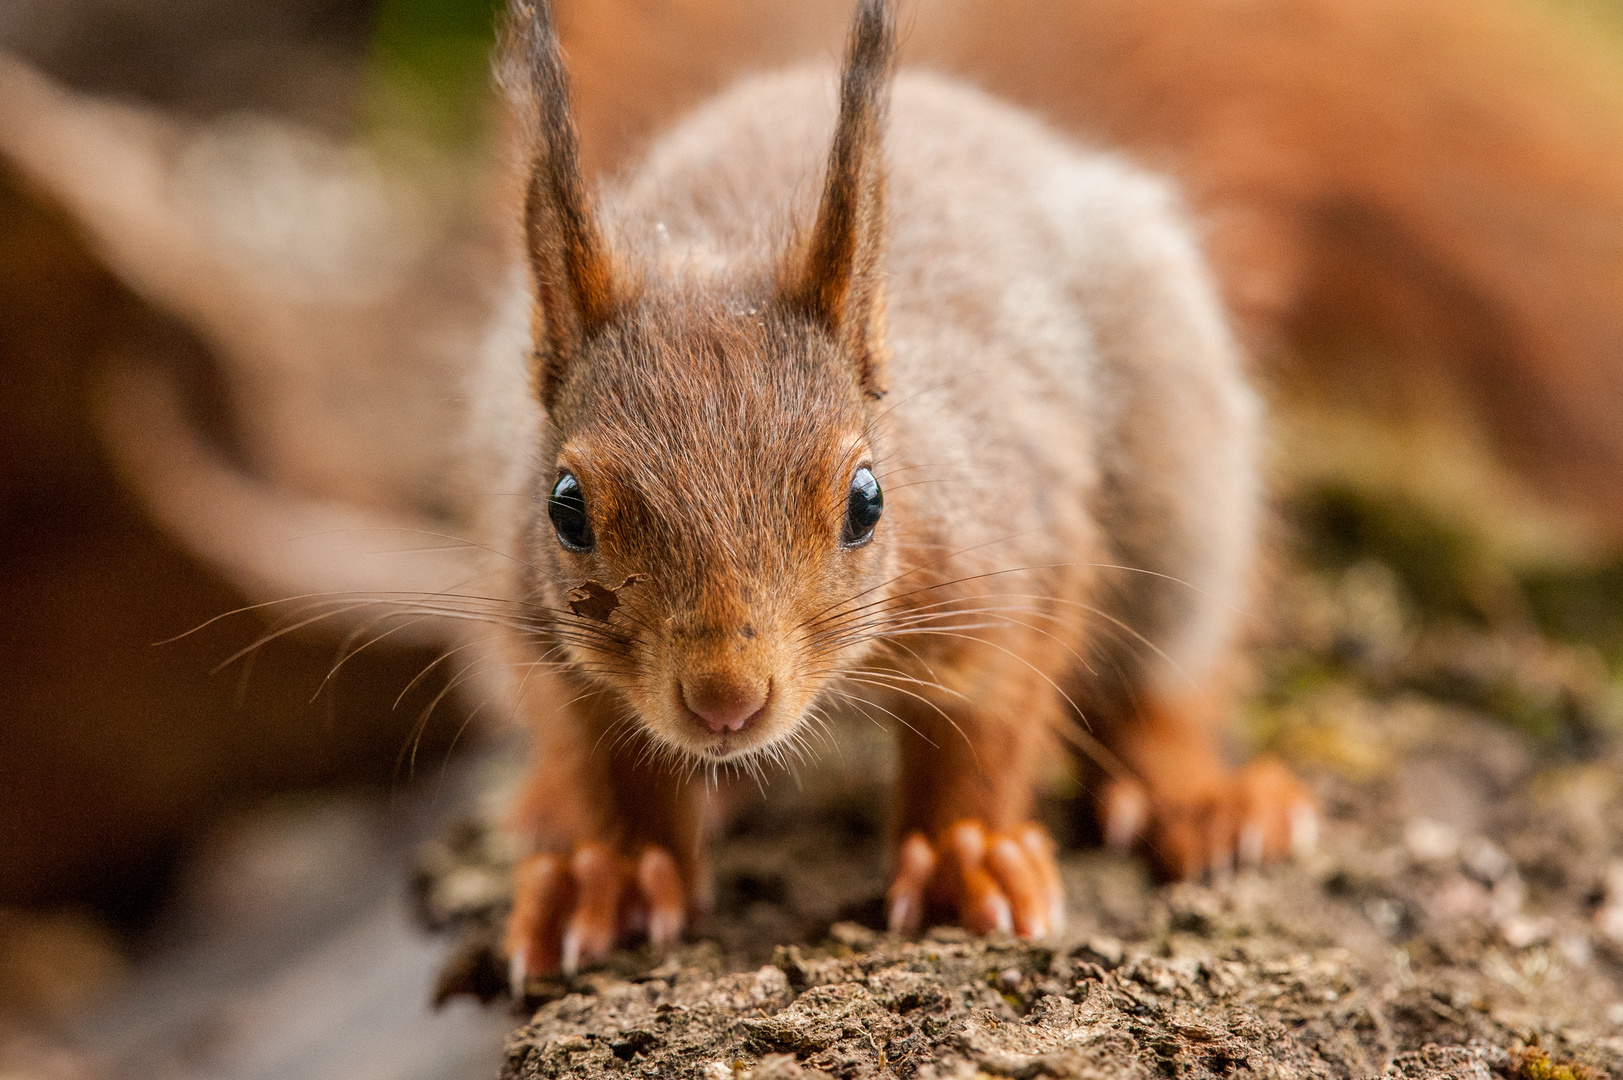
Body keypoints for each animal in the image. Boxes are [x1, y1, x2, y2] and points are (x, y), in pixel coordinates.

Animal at [490, 0, 1304, 980]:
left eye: (866, 502)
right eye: (565, 509)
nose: (725, 700)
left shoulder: (1012, 562)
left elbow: (987, 730)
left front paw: (964, 853)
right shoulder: (544, 629)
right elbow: (607, 760)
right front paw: (606, 871)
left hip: (1180, 493)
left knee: (1158, 687)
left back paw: (1202, 798)